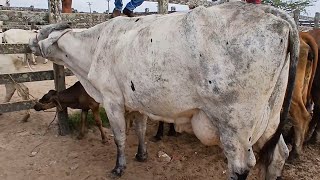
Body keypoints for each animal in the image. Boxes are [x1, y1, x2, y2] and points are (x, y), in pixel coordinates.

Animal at [29, 2, 300, 179]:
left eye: (41, 34)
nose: (30, 42)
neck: (96, 45)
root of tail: (272, 13)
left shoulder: (112, 100)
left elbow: (119, 137)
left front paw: (119, 168)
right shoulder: (138, 102)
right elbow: (139, 130)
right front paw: (141, 155)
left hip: (236, 125)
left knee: (240, 167)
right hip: (270, 117)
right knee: (279, 154)